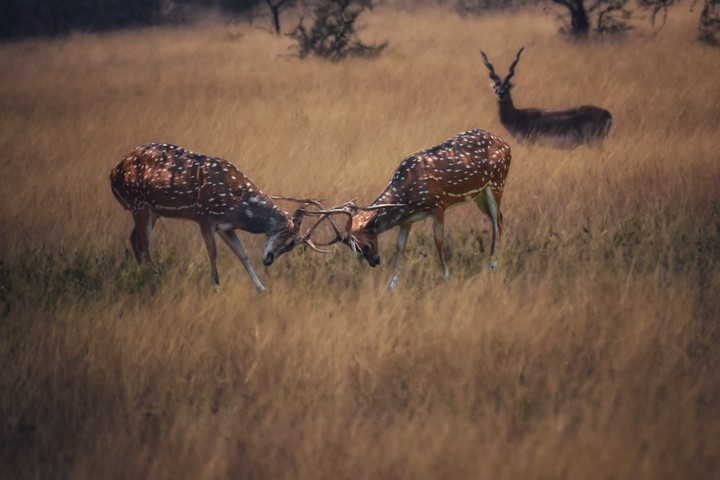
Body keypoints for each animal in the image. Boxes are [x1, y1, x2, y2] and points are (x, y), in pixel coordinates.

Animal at [110, 143, 326, 292]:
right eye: (290, 242)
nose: (268, 260)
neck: (238, 203)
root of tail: (112, 174)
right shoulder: (205, 217)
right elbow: (213, 254)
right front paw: (217, 288)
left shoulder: (225, 226)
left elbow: (241, 253)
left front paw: (262, 288)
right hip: (138, 204)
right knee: (145, 246)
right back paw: (153, 278)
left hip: (150, 211)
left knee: (135, 240)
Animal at [302, 129, 512, 289]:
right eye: (357, 250)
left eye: (365, 246)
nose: (375, 262)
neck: (406, 195)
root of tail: (507, 145)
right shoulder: (407, 220)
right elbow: (401, 246)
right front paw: (392, 285)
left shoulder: (438, 205)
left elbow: (438, 241)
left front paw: (446, 276)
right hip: (479, 195)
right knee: (498, 219)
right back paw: (490, 258)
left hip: (497, 183)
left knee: (499, 221)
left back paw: (494, 263)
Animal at [480, 47, 612, 148]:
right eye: (495, 86)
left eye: (508, 86)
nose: (501, 94)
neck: (518, 116)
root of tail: (607, 114)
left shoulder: (530, 144)